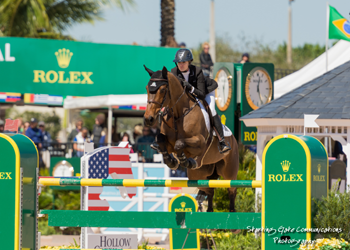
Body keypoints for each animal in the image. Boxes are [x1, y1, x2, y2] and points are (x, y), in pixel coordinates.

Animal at [144, 65, 239, 212]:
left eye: (163, 90)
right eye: (147, 89)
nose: (149, 119)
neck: (179, 115)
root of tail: (234, 140)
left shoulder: (199, 143)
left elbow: (179, 143)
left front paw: (183, 160)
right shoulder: (168, 142)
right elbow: (161, 139)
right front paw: (172, 161)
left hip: (229, 172)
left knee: (232, 191)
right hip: (199, 175)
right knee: (209, 191)